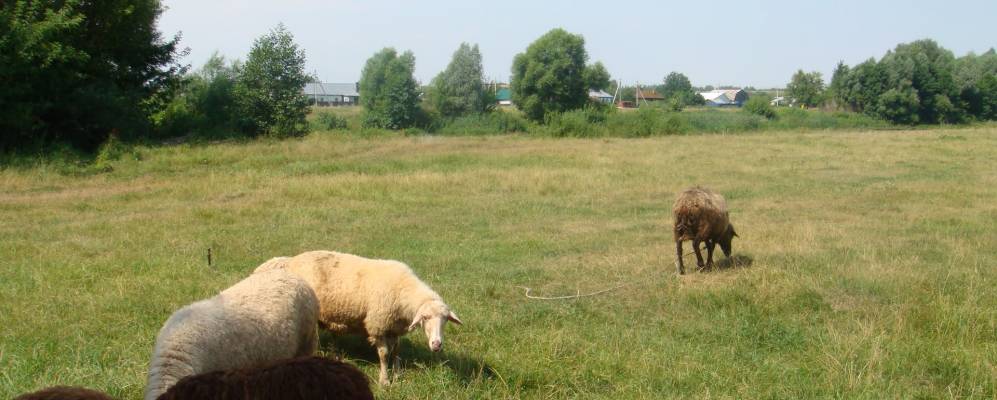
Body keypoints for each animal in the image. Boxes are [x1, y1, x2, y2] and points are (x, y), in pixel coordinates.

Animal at [255, 252, 462, 386]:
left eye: (445, 320)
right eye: (425, 318)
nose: (437, 345)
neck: (403, 290)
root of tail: (288, 262)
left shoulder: (394, 327)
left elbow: (396, 351)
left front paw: (397, 375)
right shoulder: (378, 325)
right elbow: (384, 354)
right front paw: (384, 380)